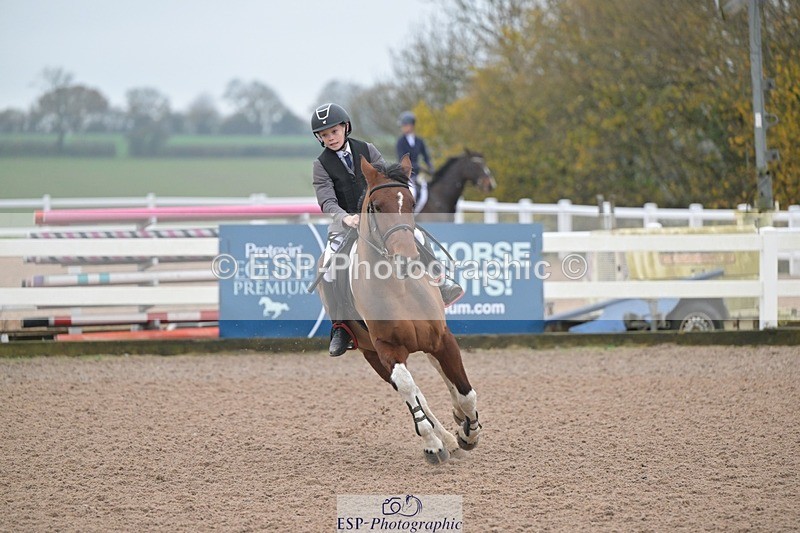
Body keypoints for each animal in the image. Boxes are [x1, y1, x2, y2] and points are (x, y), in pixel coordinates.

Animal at [317, 154, 482, 465]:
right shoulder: (386, 351)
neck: (399, 286)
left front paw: (469, 431)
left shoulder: (442, 339)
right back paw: (444, 439)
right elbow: (409, 390)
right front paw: (433, 445)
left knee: (443, 376)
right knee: (416, 394)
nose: (406, 258)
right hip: (371, 354)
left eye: (411, 202)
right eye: (376, 207)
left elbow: (465, 392)